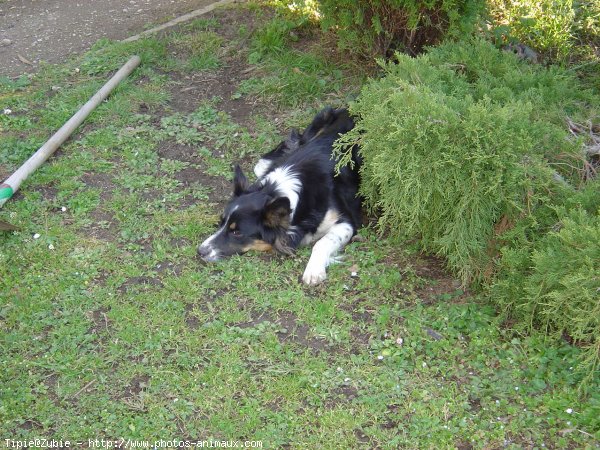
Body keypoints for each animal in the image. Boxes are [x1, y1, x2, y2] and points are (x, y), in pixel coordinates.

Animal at [199, 107, 364, 284]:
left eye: (237, 233)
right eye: (220, 222)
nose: (199, 251)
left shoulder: (347, 221)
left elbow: (322, 241)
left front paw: (313, 270)